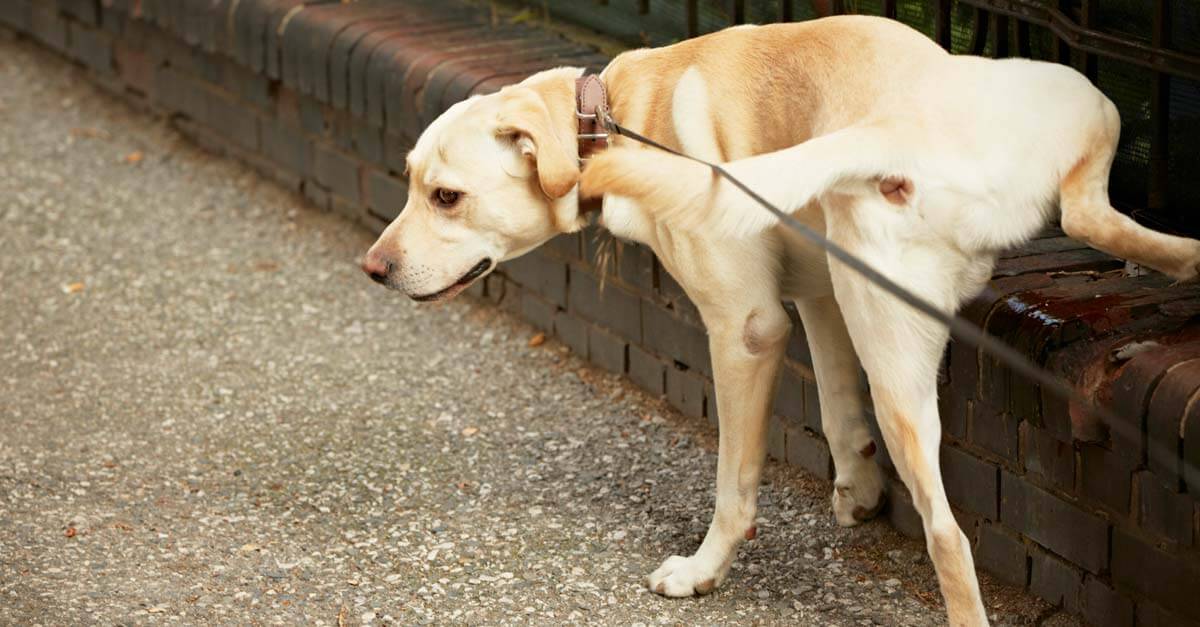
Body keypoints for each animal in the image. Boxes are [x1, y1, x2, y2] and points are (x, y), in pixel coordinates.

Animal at [362, 14, 1200, 624]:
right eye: (409, 181)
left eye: (446, 197)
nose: (373, 268)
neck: (615, 111)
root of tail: (896, 126)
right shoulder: (822, 295)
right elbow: (835, 408)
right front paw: (857, 488)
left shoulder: (747, 329)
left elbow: (734, 484)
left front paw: (704, 570)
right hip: (1073, 112)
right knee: (1093, 216)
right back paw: (1184, 256)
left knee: (948, 536)